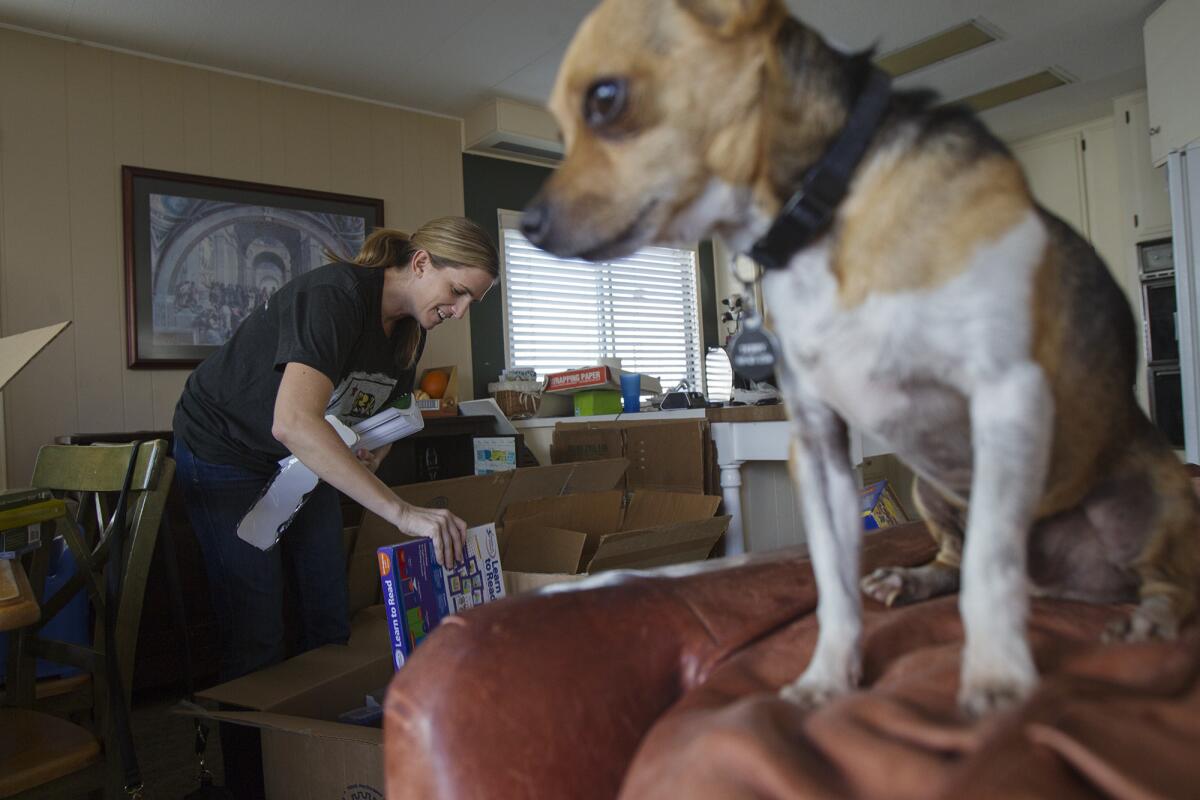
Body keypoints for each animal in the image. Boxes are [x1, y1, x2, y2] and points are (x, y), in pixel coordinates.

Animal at [523, 0, 1200, 714]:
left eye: (605, 99)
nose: (527, 228)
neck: (820, 213)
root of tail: (1070, 586)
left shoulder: (1005, 397)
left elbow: (991, 566)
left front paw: (995, 679)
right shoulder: (818, 444)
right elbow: (836, 586)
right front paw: (827, 677)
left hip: (1155, 495)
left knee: (1162, 581)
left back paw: (1147, 618)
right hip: (934, 490)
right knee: (954, 561)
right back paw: (912, 580)